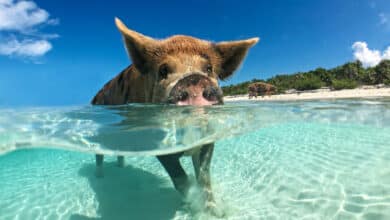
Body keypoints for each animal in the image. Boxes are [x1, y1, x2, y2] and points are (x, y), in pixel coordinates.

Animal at [90, 18, 258, 216]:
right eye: (163, 70)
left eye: (209, 68)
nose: (194, 79)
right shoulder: (157, 143)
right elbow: (180, 177)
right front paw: (193, 207)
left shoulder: (208, 140)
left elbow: (204, 177)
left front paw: (215, 213)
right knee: (99, 156)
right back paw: (99, 177)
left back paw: (121, 167)